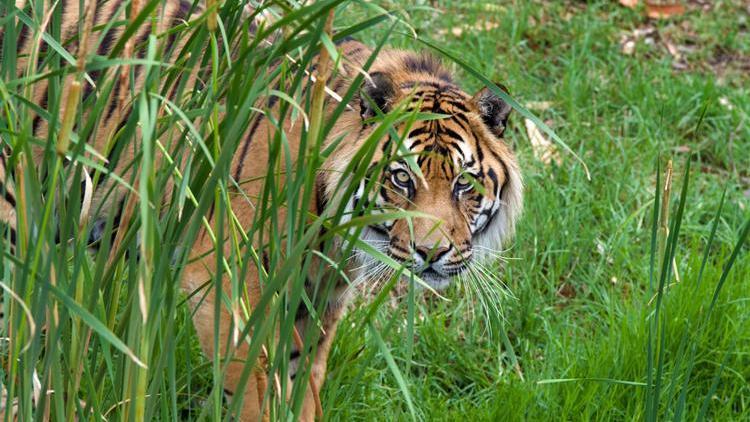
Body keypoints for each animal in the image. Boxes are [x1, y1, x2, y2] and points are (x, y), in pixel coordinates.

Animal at [0, 1, 524, 420]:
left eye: (464, 183)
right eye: (401, 179)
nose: (431, 253)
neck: (337, 232)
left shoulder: (315, 303)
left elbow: (302, 389)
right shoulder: (226, 288)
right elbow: (252, 389)